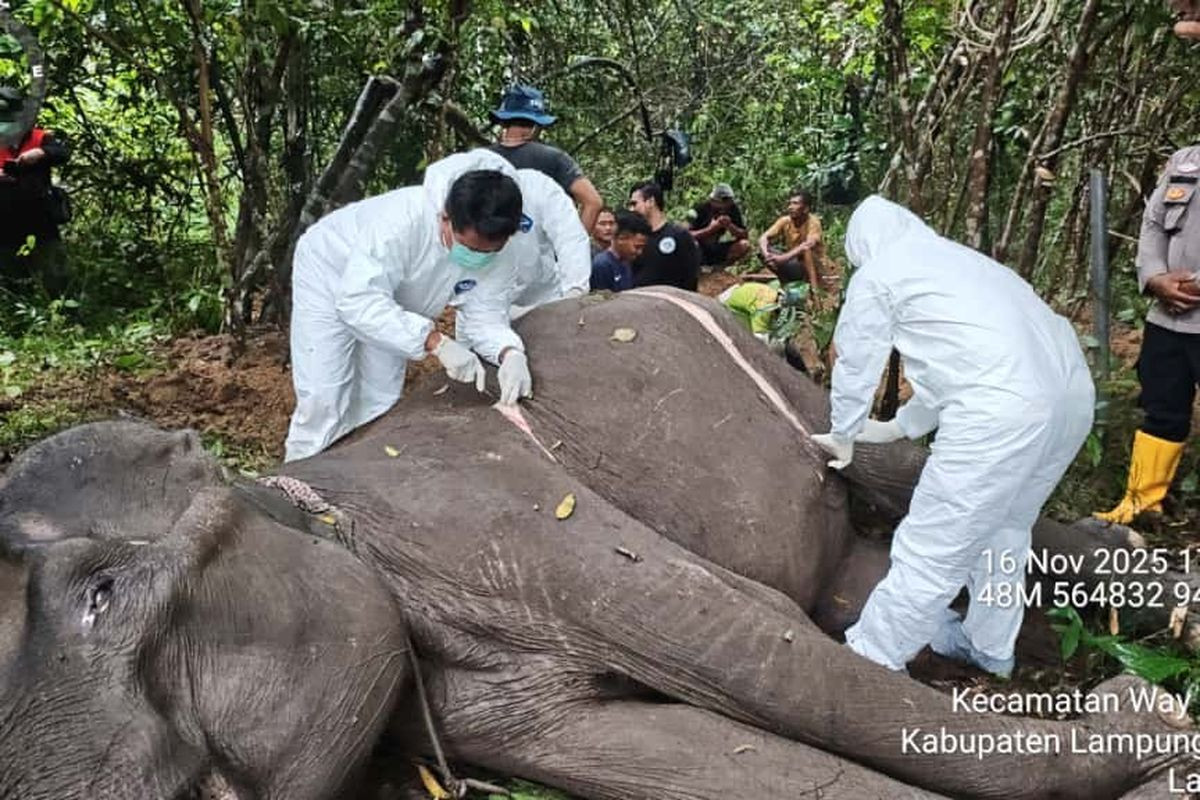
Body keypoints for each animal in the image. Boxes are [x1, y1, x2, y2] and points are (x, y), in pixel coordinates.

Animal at [0, 287, 1188, 799]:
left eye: (104, 589)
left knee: (886, 474)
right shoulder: (469, 714)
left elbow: (761, 639)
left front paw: (1153, 722)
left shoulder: (503, 514)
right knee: (857, 572)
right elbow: (715, 764)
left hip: (784, 375)